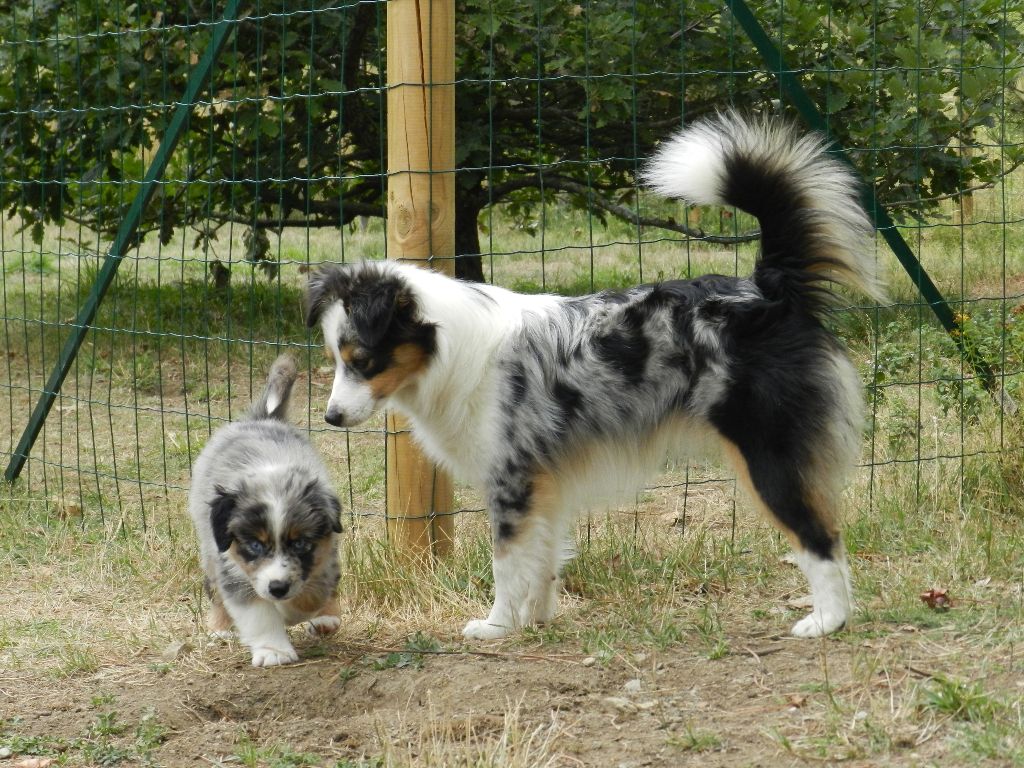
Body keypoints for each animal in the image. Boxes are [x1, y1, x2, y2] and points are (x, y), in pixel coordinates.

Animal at [188, 354, 343, 666]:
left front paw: (296, 613)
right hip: (209, 552)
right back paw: (219, 629)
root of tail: (262, 418)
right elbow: (257, 612)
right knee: (214, 589)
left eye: (300, 543)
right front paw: (274, 652)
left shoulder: (323, 557)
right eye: (255, 545)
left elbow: (310, 596)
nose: (278, 588)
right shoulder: (231, 565)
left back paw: (326, 620)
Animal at [305, 112, 885, 640]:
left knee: (820, 538)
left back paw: (827, 621)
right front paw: (536, 619)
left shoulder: (511, 481)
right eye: (335, 358)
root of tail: (767, 290)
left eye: (363, 360)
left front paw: (497, 626)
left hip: (768, 457)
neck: (452, 349)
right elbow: (542, 558)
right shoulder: (544, 483)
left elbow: (506, 563)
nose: (331, 418)